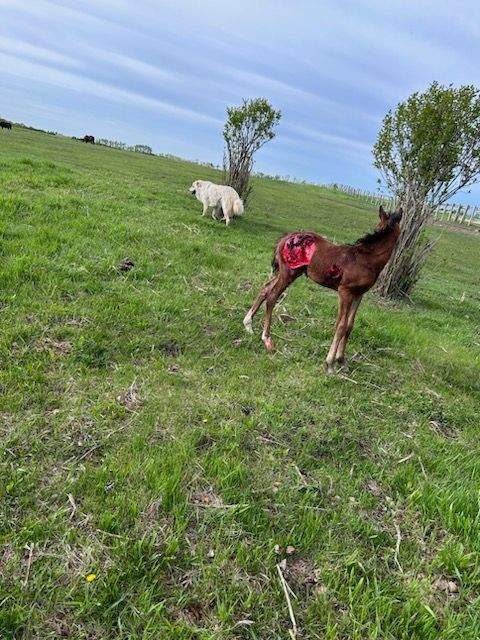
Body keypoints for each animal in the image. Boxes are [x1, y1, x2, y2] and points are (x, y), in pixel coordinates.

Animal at [243, 206, 402, 373]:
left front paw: (342, 361)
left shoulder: (359, 295)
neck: (366, 259)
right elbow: (341, 326)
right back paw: (266, 339)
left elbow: (350, 326)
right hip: (288, 273)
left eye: (378, 226)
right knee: (273, 296)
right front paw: (330, 364)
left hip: (288, 272)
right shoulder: (345, 292)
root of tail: (285, 238)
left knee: (265, 288)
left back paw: (248, 325)